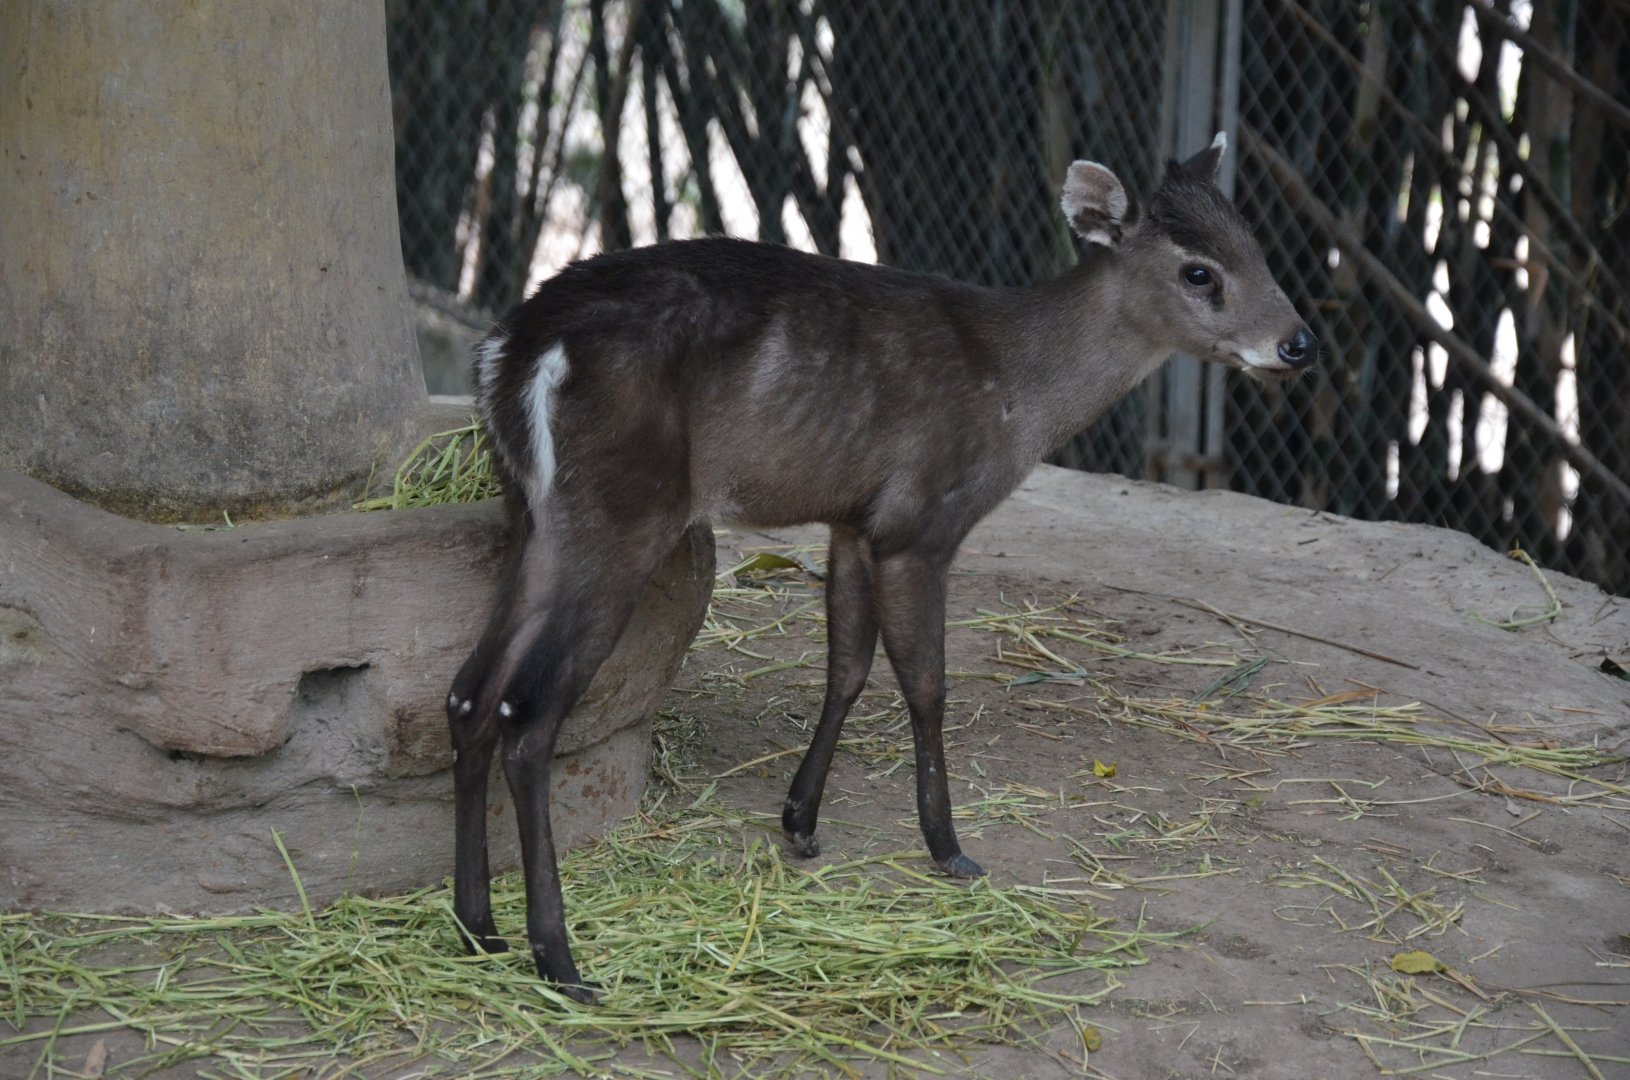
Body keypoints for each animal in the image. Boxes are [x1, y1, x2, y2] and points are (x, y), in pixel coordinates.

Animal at [442, 132, 1314, 1001]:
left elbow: (848, 666)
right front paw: (948, 847)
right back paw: (560, 961)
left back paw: (478, 928)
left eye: (1256, 243)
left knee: (468, 694)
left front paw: (800, 822)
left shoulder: (853, 522)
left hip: (537, 519)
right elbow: (925, 684)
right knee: (528, 712)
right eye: (1199, 271)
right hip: (623, 518)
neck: (1017, 391)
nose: (1299, 343)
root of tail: (511, 353)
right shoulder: (922, 524)